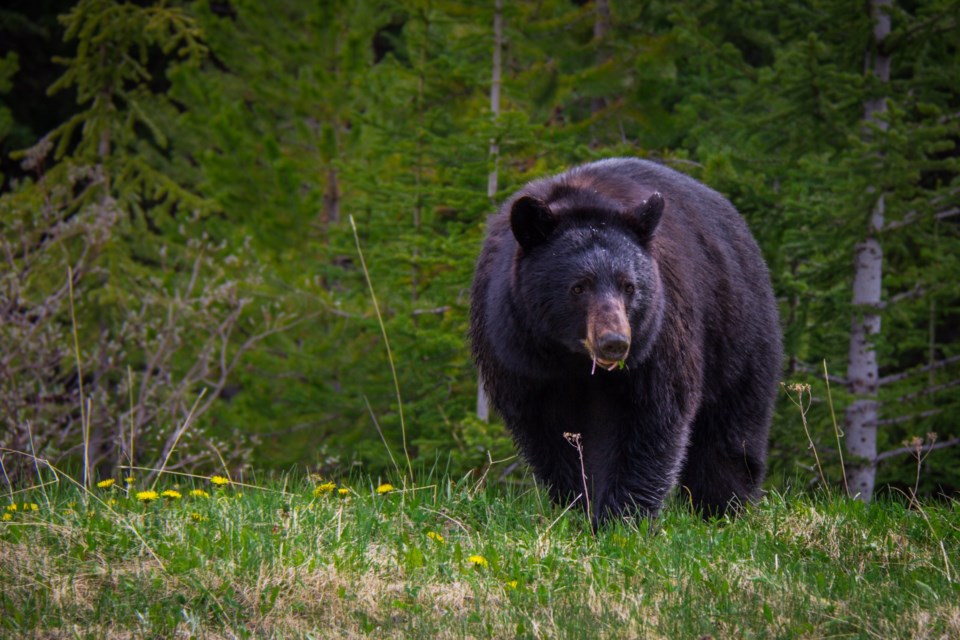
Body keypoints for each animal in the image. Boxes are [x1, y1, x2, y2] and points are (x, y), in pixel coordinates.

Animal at [468, 158, 784, 524]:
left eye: (629, 286)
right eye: (578, 287)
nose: (614, 341)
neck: (572, 358)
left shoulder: (658, 340)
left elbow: (649, 419)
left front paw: (623, 516)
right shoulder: (521, 354)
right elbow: (550, 433)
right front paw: (578, 504)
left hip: (736, 332)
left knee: (730, 428)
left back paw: (722, 508)